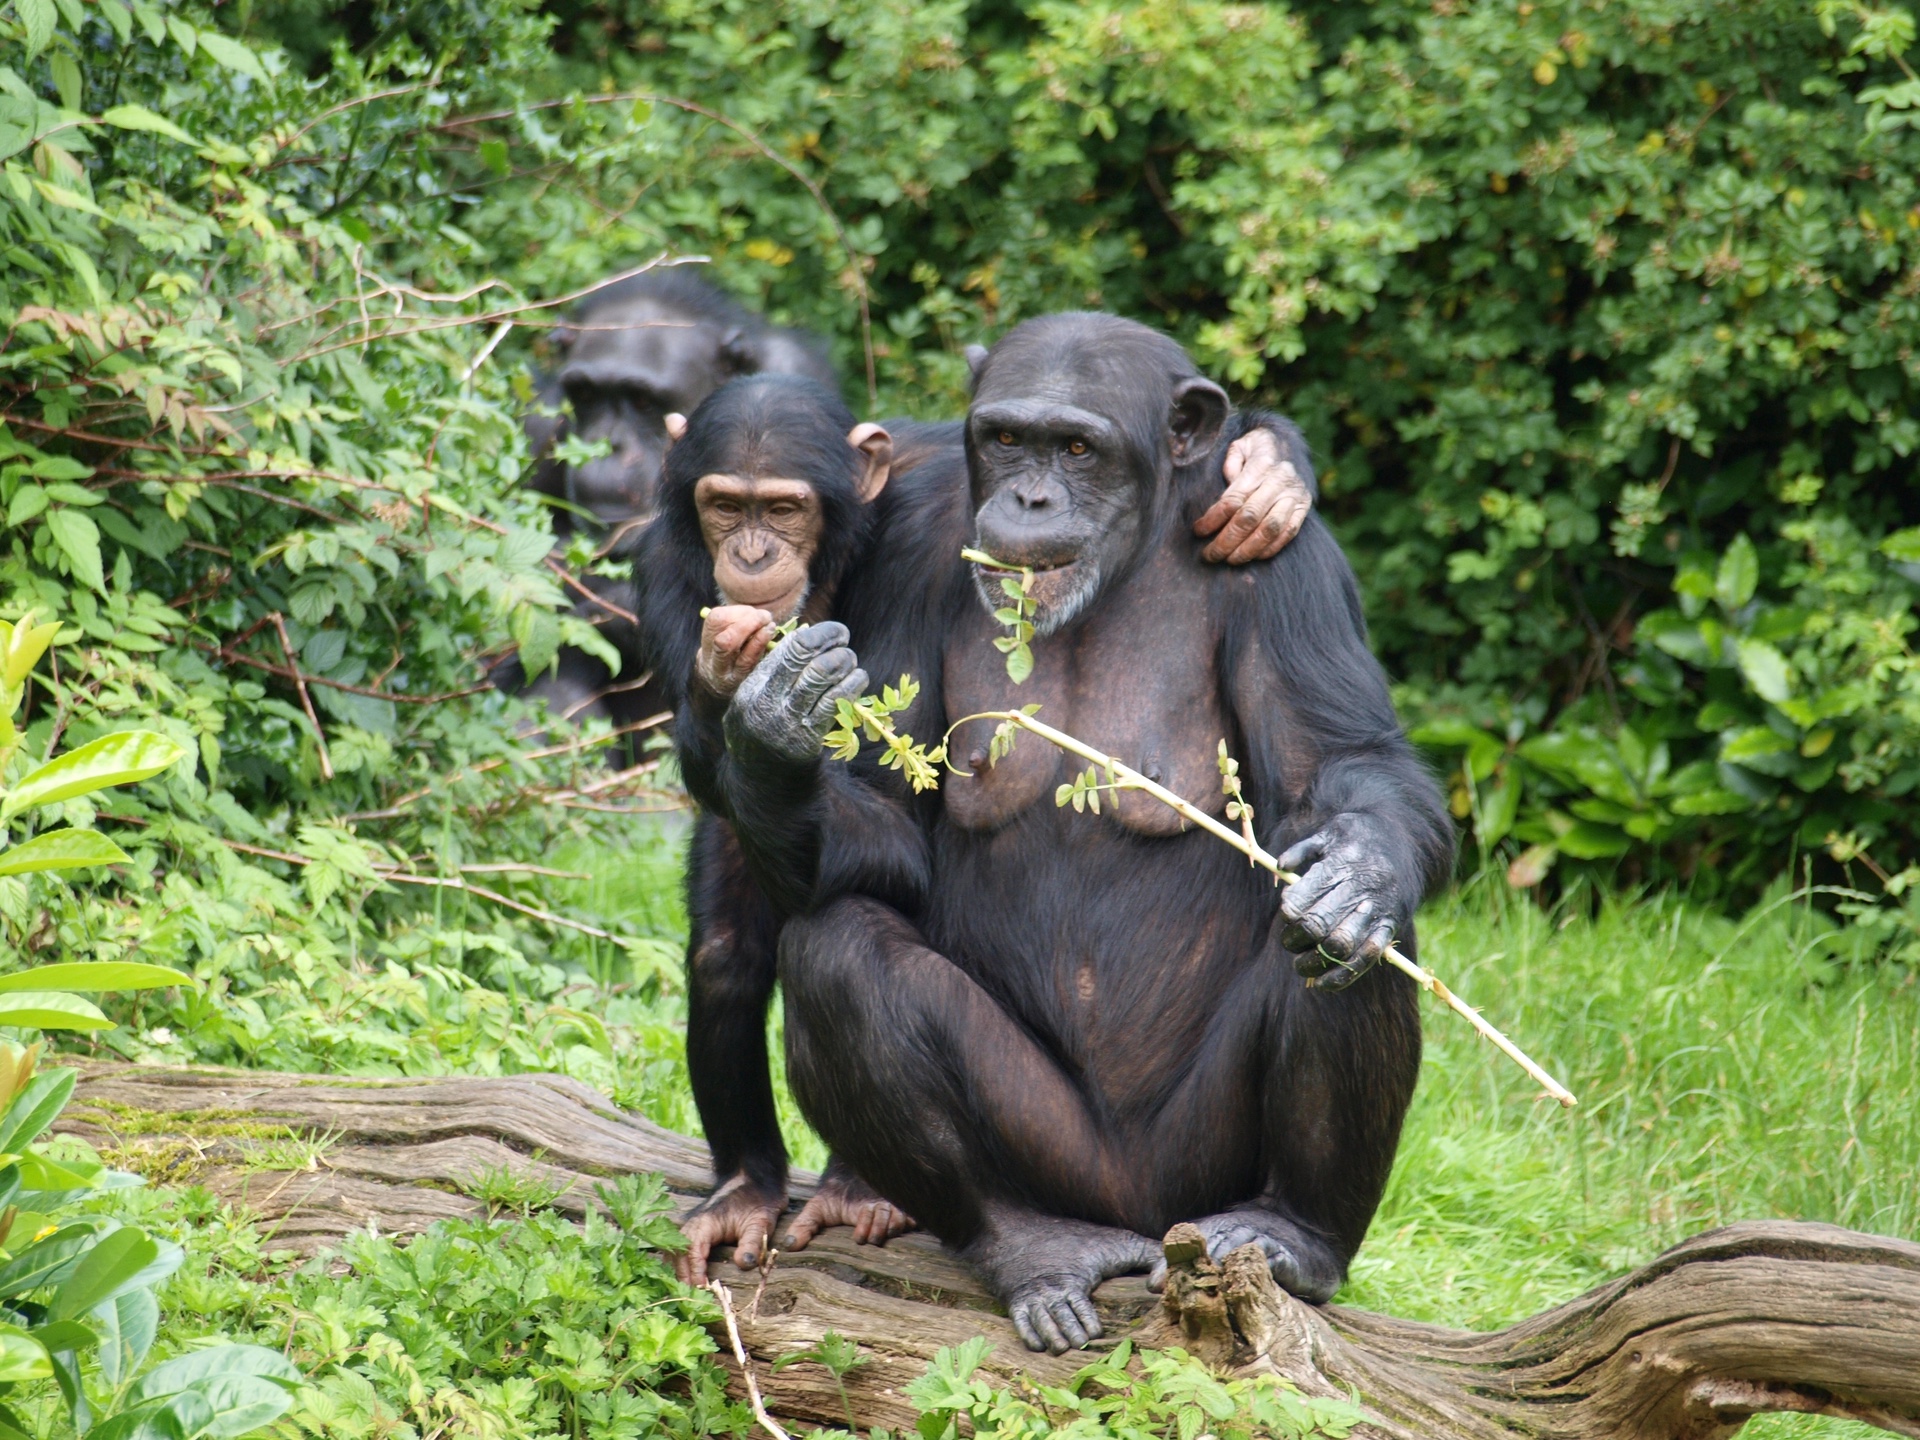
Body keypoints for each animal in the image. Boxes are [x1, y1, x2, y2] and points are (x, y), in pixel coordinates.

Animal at [629, 372, 1320, 1282]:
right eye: (722, 507)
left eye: (781, 508)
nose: (747, 557)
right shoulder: (666, 572)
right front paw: (742, 683)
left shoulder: (930, 489)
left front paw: (1267, 470)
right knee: (728, 952)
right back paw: (747, 1189)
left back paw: (860, 1191)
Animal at [706, 312, 1451, 1351]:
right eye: (1008, 437)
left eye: (1078, 449)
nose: (1030, 494)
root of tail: (1139, 1214)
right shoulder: (909, 549)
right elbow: (888, 827)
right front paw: (775, 724)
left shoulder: (1292, 571)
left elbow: (1344, 763)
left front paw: (1359, 876)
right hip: (1054, 1156)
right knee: (840, 951)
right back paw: (1030, 1245)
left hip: (1200, 1166)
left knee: (1344, 952)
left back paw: (1294, 1232)